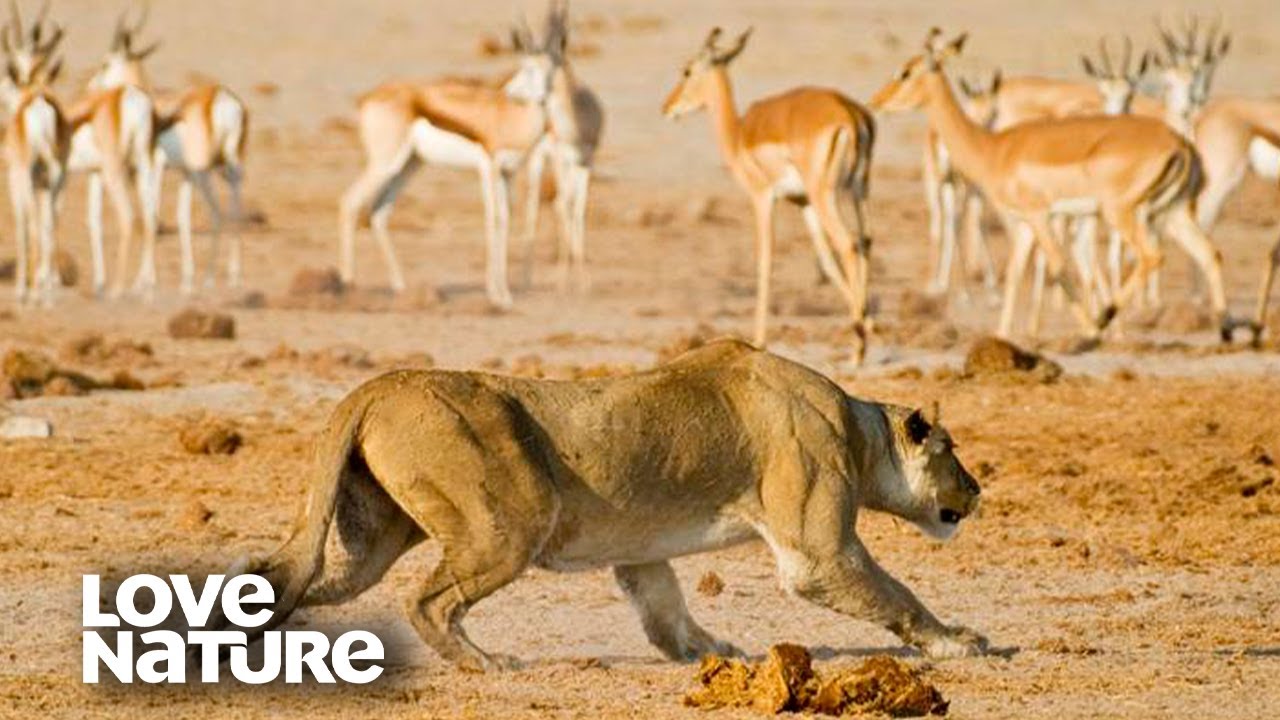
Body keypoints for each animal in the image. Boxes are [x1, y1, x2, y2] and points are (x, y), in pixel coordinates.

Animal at [228, 339, 987, 670]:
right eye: (952, 450)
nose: (977, 490)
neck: (860, 434)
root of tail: (376, 386)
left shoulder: (640, 552)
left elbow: (666, 609)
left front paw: (712, 652)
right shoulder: (818, 551)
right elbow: (895, 595)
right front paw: (960, 640)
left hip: (372, 540)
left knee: (280, 577)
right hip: (511, 521)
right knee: (428, 602)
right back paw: (485, 663)